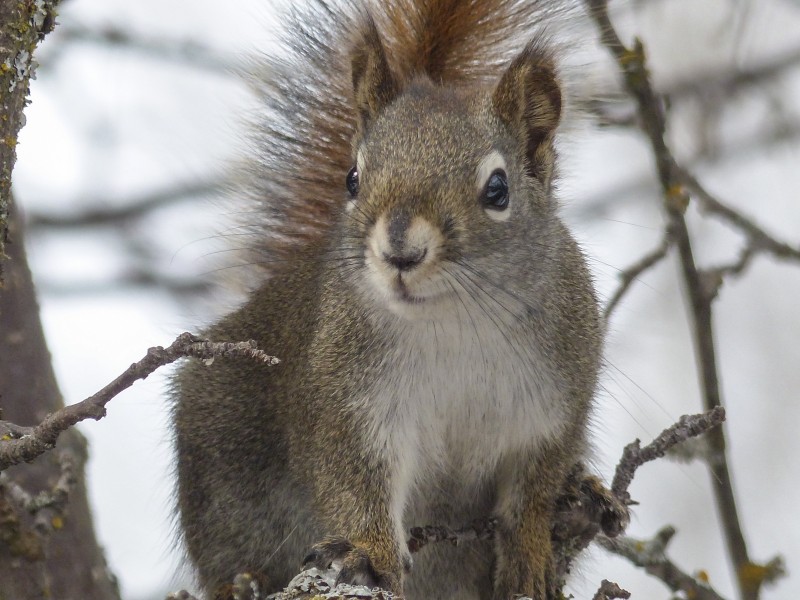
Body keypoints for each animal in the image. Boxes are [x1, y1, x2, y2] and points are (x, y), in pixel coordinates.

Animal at [172, 1, 604, 600]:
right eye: (352, 178)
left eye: (498, 190)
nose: (400, 250)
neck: (452, 322)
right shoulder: (349, 402)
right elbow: (355, 482)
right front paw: (370, 553)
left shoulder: (554, 409)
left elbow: (534, 495)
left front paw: (531, 557)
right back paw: (247, 580)